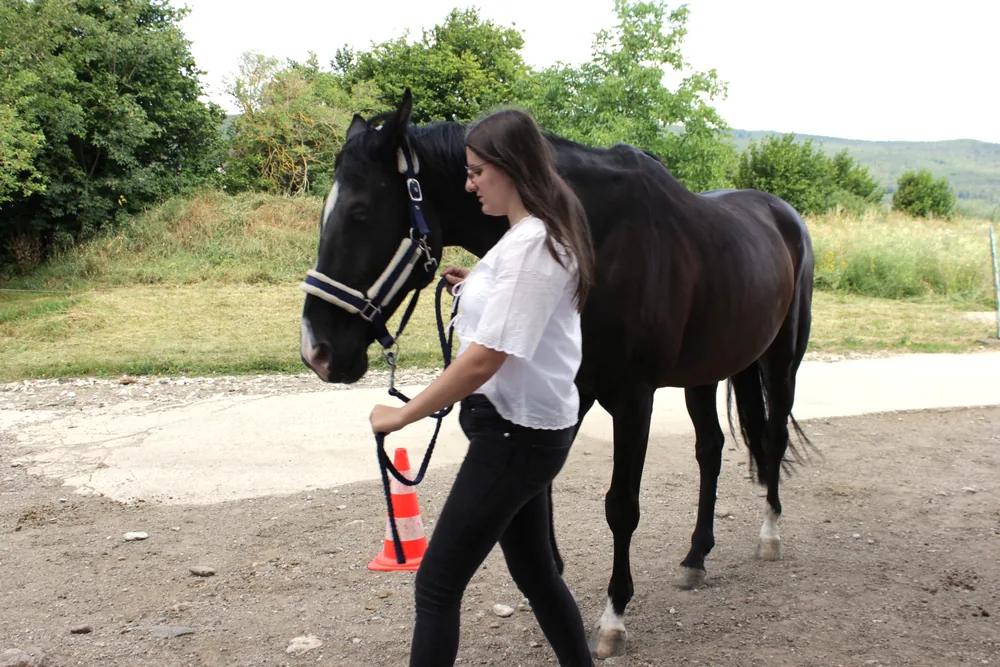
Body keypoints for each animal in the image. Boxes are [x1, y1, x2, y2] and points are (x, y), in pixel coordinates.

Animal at [299, 89, 815, 658]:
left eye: (361, 213)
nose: (316, 351)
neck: (595, 237)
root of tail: (783, 215)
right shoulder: (571, 393)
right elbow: (539, 498)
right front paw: (554, 580)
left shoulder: (633, 400)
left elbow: (621, 507)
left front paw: (613, 617)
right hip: (705, 373)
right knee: (711, 450)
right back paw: (696, 557)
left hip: (781, 362)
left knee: (771, 438)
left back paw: (769, 535)